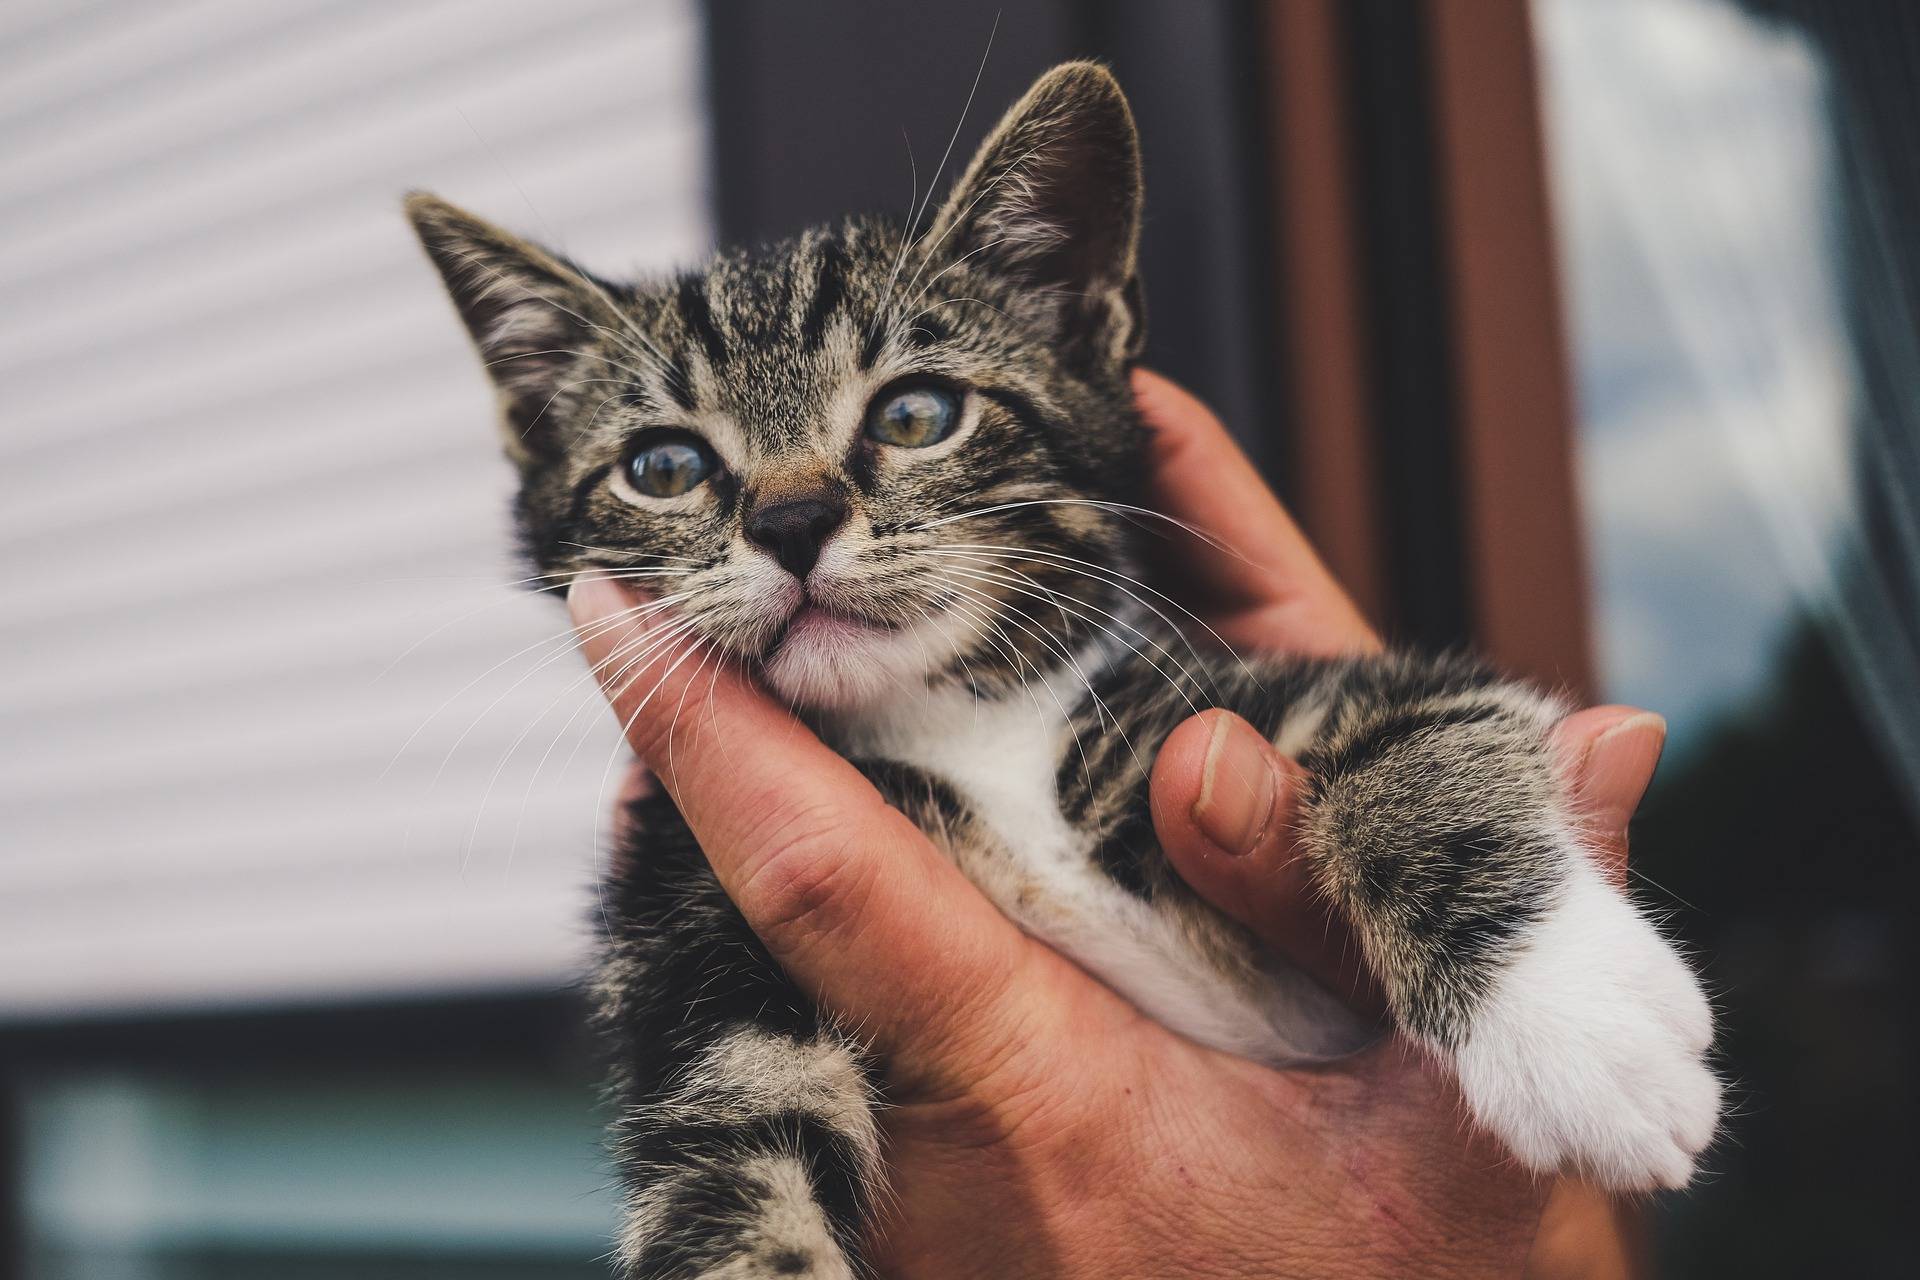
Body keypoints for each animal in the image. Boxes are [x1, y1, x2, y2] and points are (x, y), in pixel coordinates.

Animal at [408, 62, 1728, 1280]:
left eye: (915, 414)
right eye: (666, 466)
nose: (789, 520)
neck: (960, 730)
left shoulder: (1253, 708)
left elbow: (1420, 737)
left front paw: (1579, 1024)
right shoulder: (691, 922)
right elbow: (731, 1156)